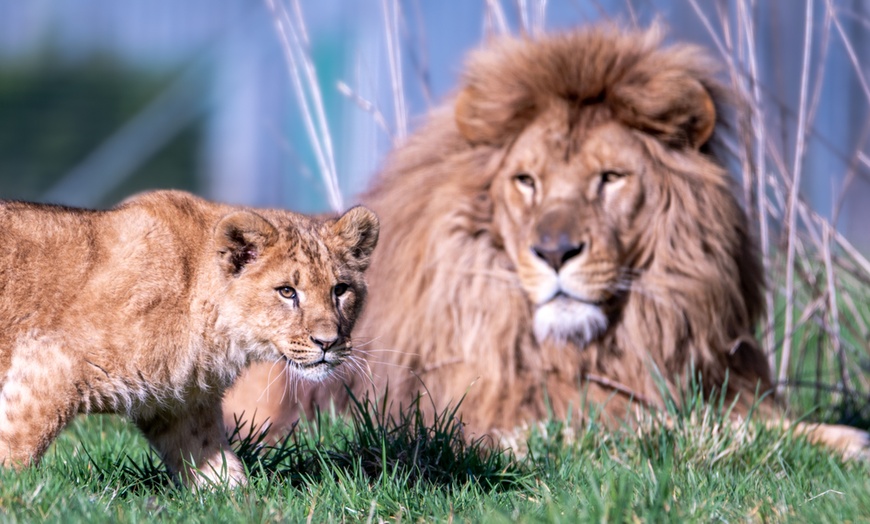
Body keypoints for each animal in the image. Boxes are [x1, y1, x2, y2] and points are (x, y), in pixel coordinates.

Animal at [227, 26, 870, 452]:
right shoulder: (490, 413)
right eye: (526, 181)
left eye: (610, 178)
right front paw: (835, 439)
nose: (555, 252)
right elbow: (666, 423)